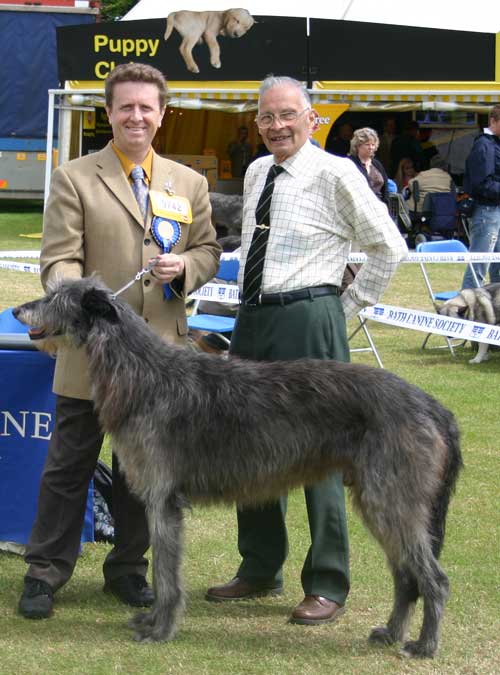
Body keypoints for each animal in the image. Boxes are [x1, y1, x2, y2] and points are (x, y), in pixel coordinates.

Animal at [12, 276, 464, 660]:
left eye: (55, 297)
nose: (17, 309)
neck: (142, 370)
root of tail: (432, 405)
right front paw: (154, 620)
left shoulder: (163, 500)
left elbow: (166, 573)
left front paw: (161, 629)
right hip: (381, 501)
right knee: (406, 577)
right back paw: (391, 633)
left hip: (392, 499)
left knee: (433, 579)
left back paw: (424, 645)